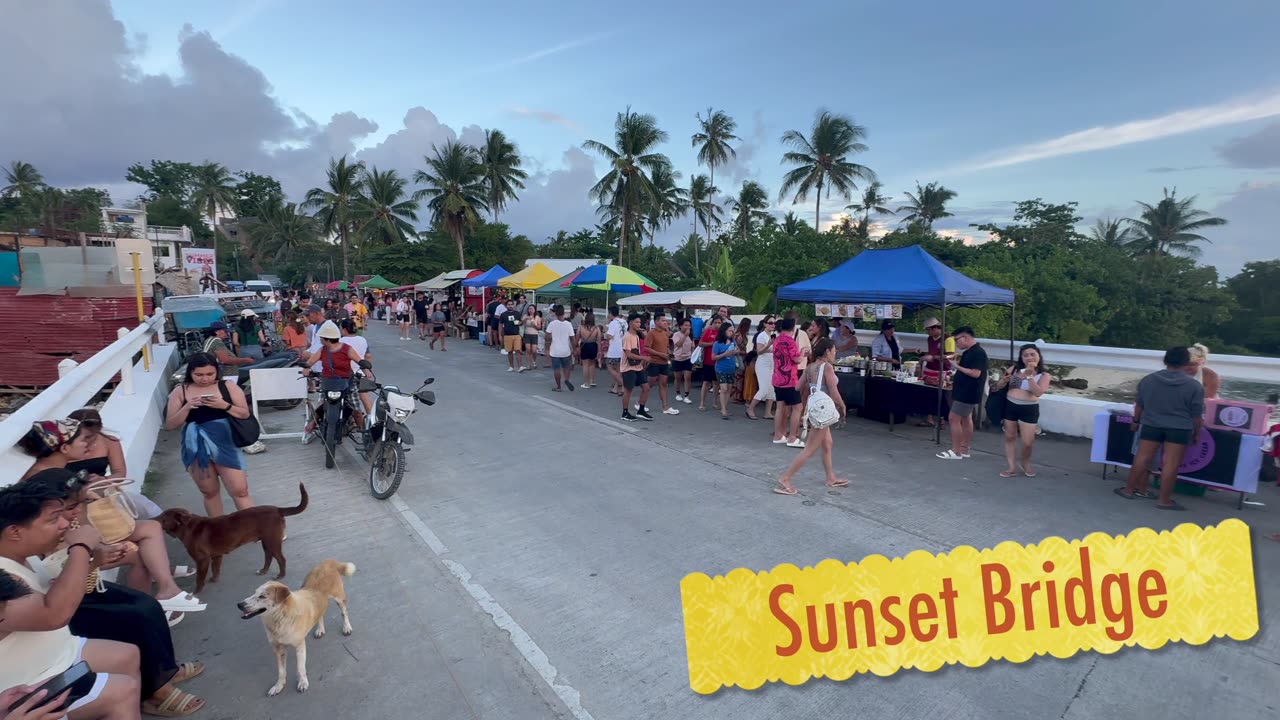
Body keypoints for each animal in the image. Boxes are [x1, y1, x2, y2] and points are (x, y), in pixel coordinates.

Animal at [158, 481, 308, 589]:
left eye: (162, 518)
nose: (152, 519)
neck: (188, 526)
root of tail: (277, 509)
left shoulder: (202, 560)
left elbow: (199, 579)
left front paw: (195, 593)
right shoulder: (216, 556)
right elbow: (216, 570)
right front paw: (214, 580)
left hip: (273, 542)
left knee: (281, 559)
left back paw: (280, 576)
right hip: (266, 543)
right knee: (268, 557)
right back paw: (263, 571)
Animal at [238, 558, 358, 691]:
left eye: (262, 596)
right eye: (254, 593)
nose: (239, 604)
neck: (280, 619)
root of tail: (327, 561)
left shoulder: (300, 646)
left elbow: (300, 668)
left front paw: (302, 682)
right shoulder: (278, 649)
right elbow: (281, 671)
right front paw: (278, 686)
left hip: (339, 598)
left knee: (343, 612)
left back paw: (346, 627)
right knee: (320, 613)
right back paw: (320, 629)